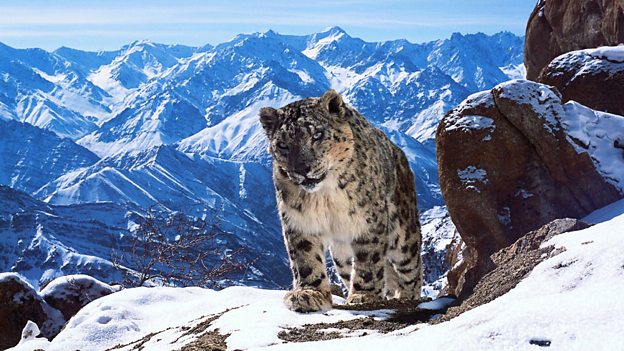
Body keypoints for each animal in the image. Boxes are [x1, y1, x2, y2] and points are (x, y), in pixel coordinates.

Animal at [258, 89, 424, 312]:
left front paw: (364, 295)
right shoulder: (299, 221)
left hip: (403, 235)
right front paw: (309, 293)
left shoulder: (368, 222)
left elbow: (368, 260)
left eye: (317, 135)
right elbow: (305, 259)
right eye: (283, 145)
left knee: (411, 269)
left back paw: (406, 297)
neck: (325, 195)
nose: (302, 169)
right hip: (341, 256)